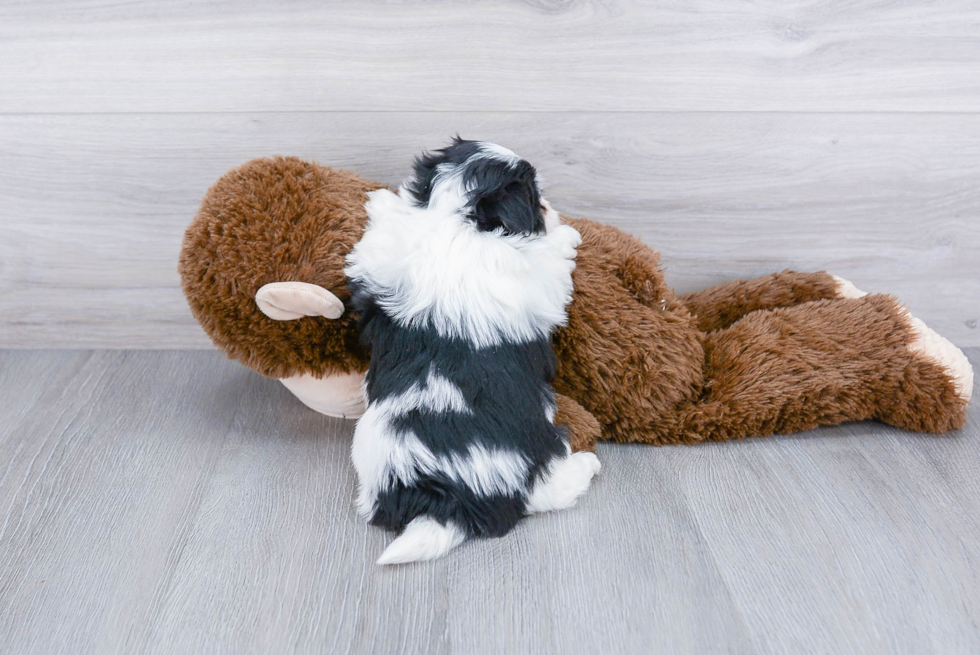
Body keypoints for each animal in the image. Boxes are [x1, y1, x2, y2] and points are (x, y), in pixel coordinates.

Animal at [344, 137, 604, 564]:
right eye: (532, 192)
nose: (548, 200)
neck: (454, 220)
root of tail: (446, 501)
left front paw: (381, 200)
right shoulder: (532, 278)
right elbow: (550, 258)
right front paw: (565, 232)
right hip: (537, 454)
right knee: (545, 491)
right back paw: (585, 464)